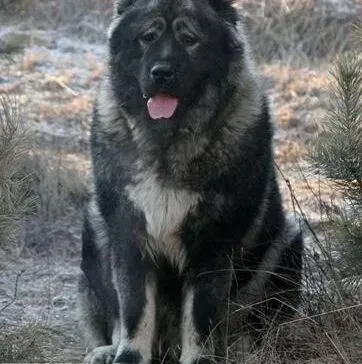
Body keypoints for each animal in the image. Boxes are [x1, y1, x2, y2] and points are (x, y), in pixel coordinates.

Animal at [78, 0, 302, 364]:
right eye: (148, 37)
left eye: (189, 40)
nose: (161, 72)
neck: (168, 142)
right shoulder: (129, 237)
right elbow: (135, 314)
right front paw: (127, 356)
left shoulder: (211, 243)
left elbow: (200, 317)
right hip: (95, 224)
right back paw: (106, 351)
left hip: (286, 242)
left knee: (253, 322)